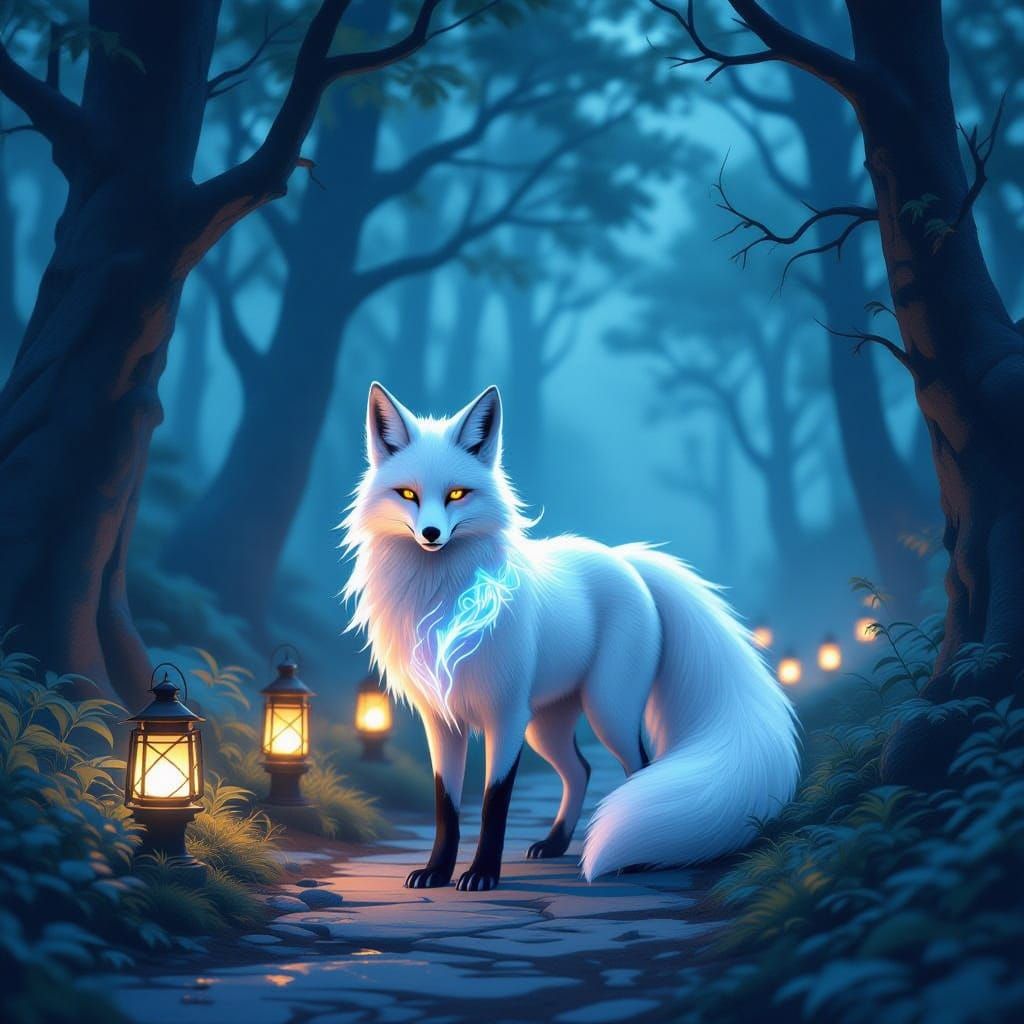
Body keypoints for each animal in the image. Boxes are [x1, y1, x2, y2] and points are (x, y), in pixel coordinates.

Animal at [342, 382, 800, 892]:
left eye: (457, 494)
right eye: (408, 494)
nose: (431, 533)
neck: (441, 603)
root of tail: (626, 560)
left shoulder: (505, 715)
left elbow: (493, 804)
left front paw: (482, 875)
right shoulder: (441, 720)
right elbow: (447, 806)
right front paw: (437, 872)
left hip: (606, 711)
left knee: (638, 768)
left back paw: (635, 857)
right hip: (546, 726)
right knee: (580, 770)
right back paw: (555, 843)